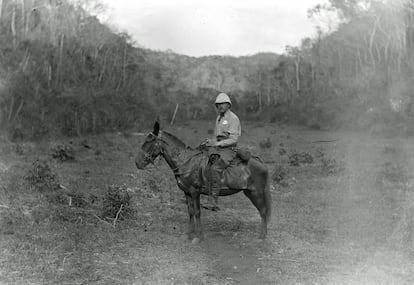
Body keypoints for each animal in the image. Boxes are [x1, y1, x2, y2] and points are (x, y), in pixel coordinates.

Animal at [134, 120, 274, 242]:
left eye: (150, 141)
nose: (137, 163)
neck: (186, 162)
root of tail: (260, 162)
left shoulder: (195, 191)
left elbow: (197, 212)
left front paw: (198, 237)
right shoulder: (187, 192)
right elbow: (190, 212)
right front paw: (188, 234)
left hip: (256, 193)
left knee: (263, 211)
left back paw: (261, 237)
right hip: (249, 192)